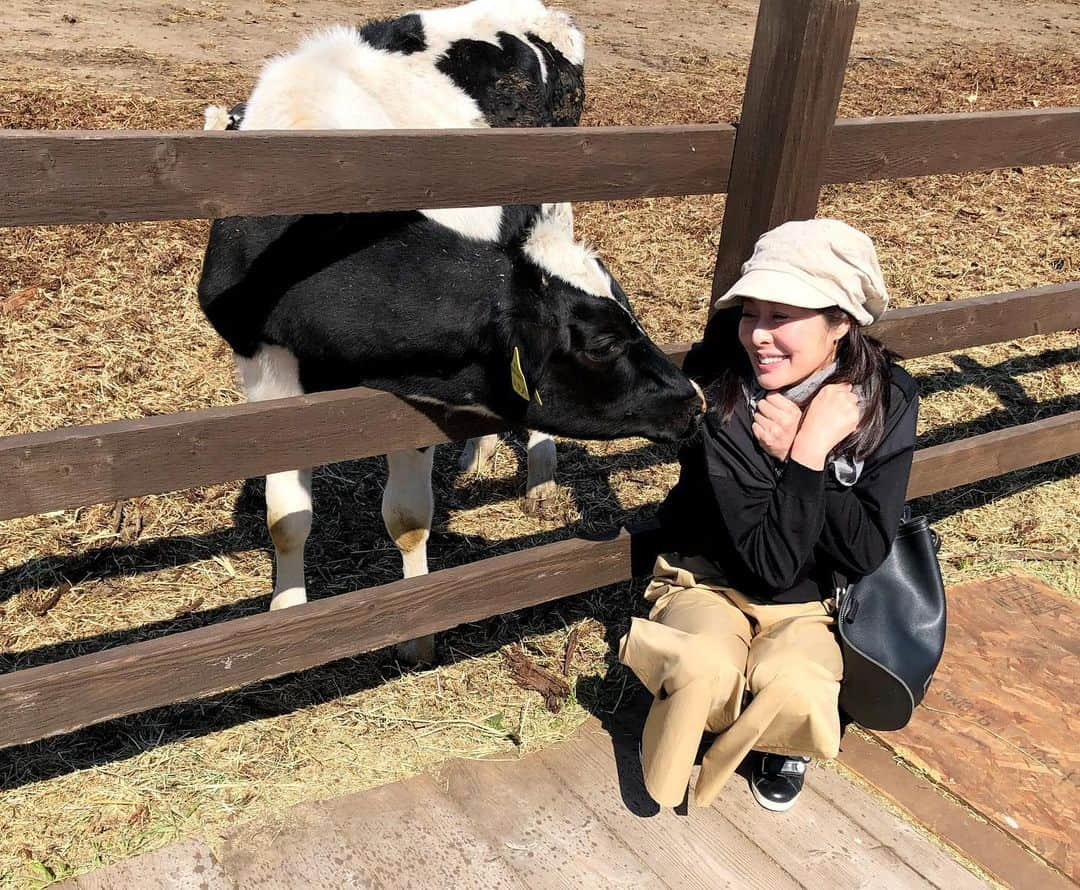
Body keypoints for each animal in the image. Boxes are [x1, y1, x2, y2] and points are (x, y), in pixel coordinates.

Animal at [197, 0, 704, 665]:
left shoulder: (418, 377)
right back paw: (480, 452)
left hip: (556, 206)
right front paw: (288, 616)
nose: (695, 399)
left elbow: (408, 516)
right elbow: (286, 515)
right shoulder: (263, 360)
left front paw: (417, 632)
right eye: (601, 344)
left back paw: (539, 473)